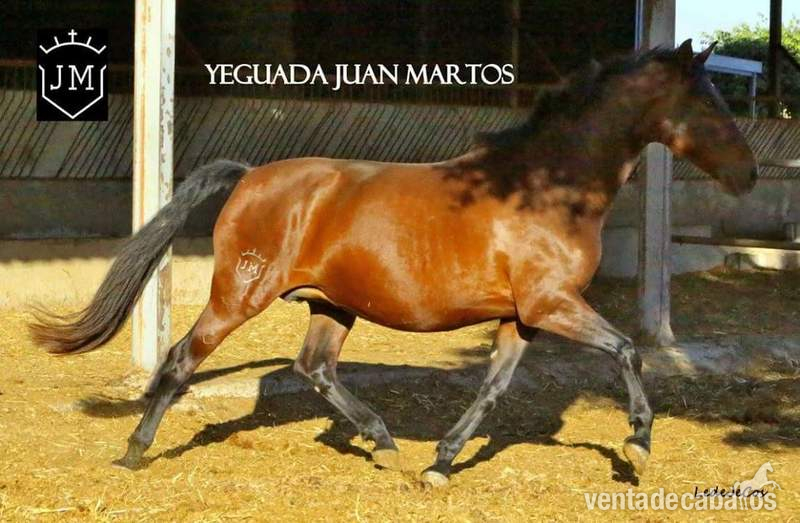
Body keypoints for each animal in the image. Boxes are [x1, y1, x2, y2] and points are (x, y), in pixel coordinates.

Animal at [29, 40, 757, 487]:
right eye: (709, 103)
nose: (749, 175)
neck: (546, 188)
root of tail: (250, 175)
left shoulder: (523, 316)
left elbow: (493, 388)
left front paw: (439, 464)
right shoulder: (552, 304)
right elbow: (628, 349)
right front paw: (638, 445)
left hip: (331, 304)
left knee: (315, 368)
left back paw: (383, 444)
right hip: (240, 294)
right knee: (183, 357)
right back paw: (133, 453)